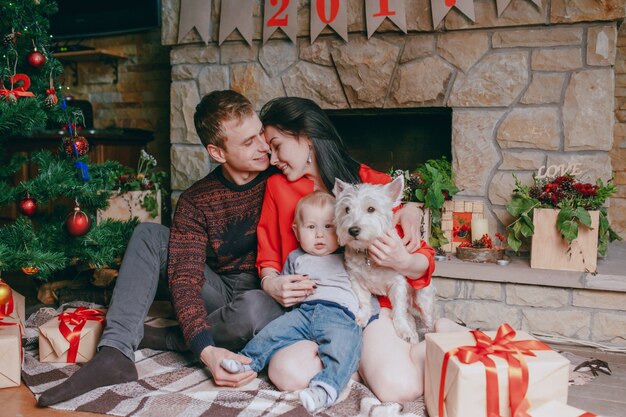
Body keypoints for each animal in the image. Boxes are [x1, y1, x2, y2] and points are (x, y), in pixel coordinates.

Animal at [332, 176, 434, 342]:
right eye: (346, 209)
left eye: (371, 209)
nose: (353, 230)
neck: (367, 252)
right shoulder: (356, 279)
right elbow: (364, 301)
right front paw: (362, 317)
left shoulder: (397, 283)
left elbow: (398, 310)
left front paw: (404, 330)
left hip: (424, 299)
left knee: (430, 320)